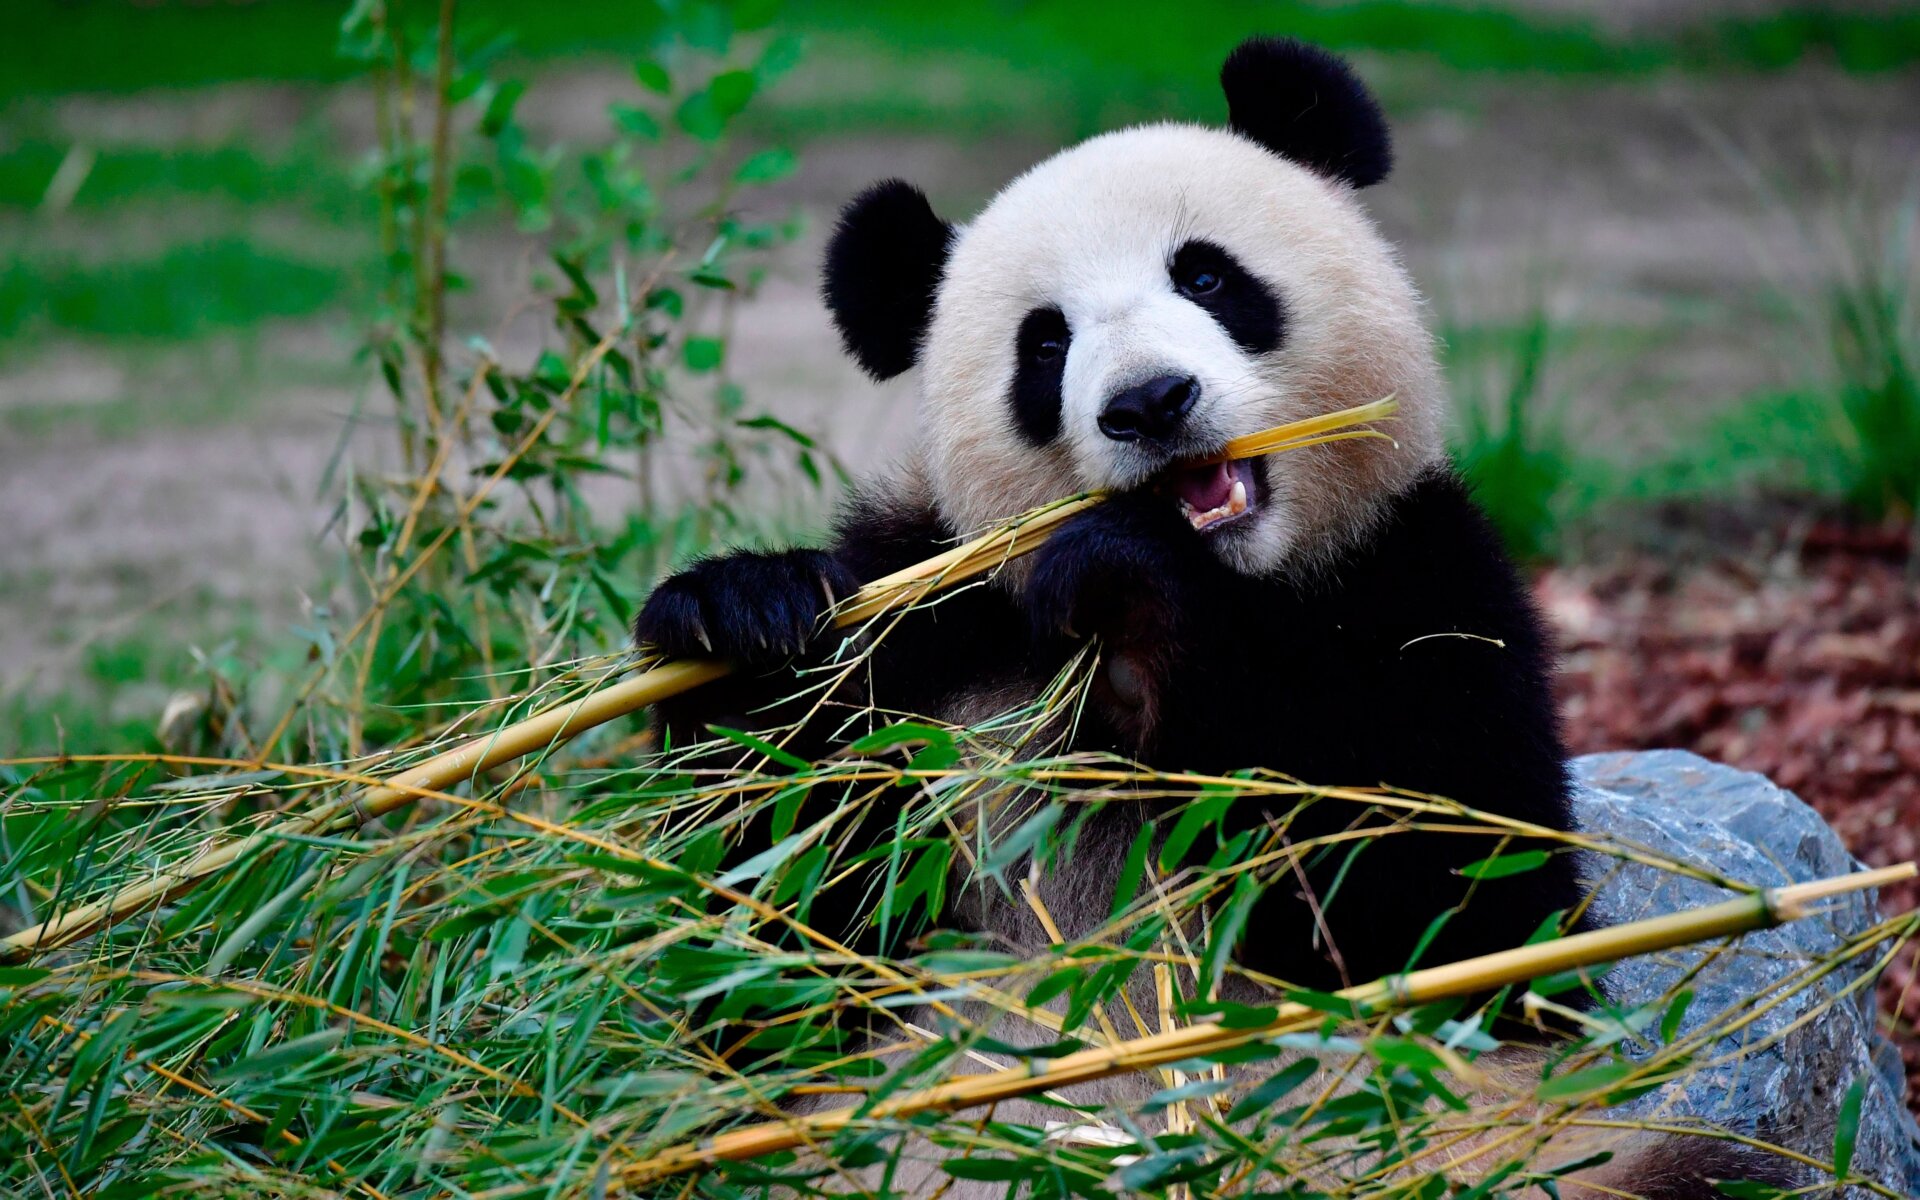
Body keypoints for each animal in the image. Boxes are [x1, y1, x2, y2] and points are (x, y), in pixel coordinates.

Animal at [635, 37, 1795, 1197]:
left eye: (1204, 275)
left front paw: (1130, 581)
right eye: (1043, 344)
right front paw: (744, 617)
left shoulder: (1431, 590)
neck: (1245, 588)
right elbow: (758, 963)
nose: (1149, 403)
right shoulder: (933, 641)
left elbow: (1457, 909)